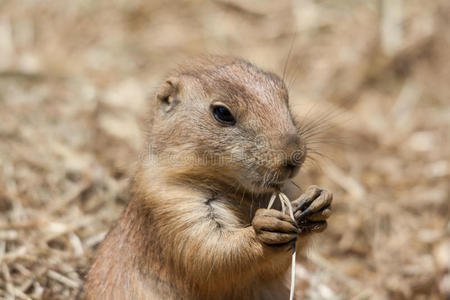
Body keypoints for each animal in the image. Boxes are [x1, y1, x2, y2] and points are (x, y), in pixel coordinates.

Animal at [82, 56, 332, 300]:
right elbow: (207, 251)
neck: (236, 191)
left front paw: (317, 199)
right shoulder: (171, 205)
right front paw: (266, 227)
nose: (295, 156)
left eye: (285, 97)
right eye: (222, 113)